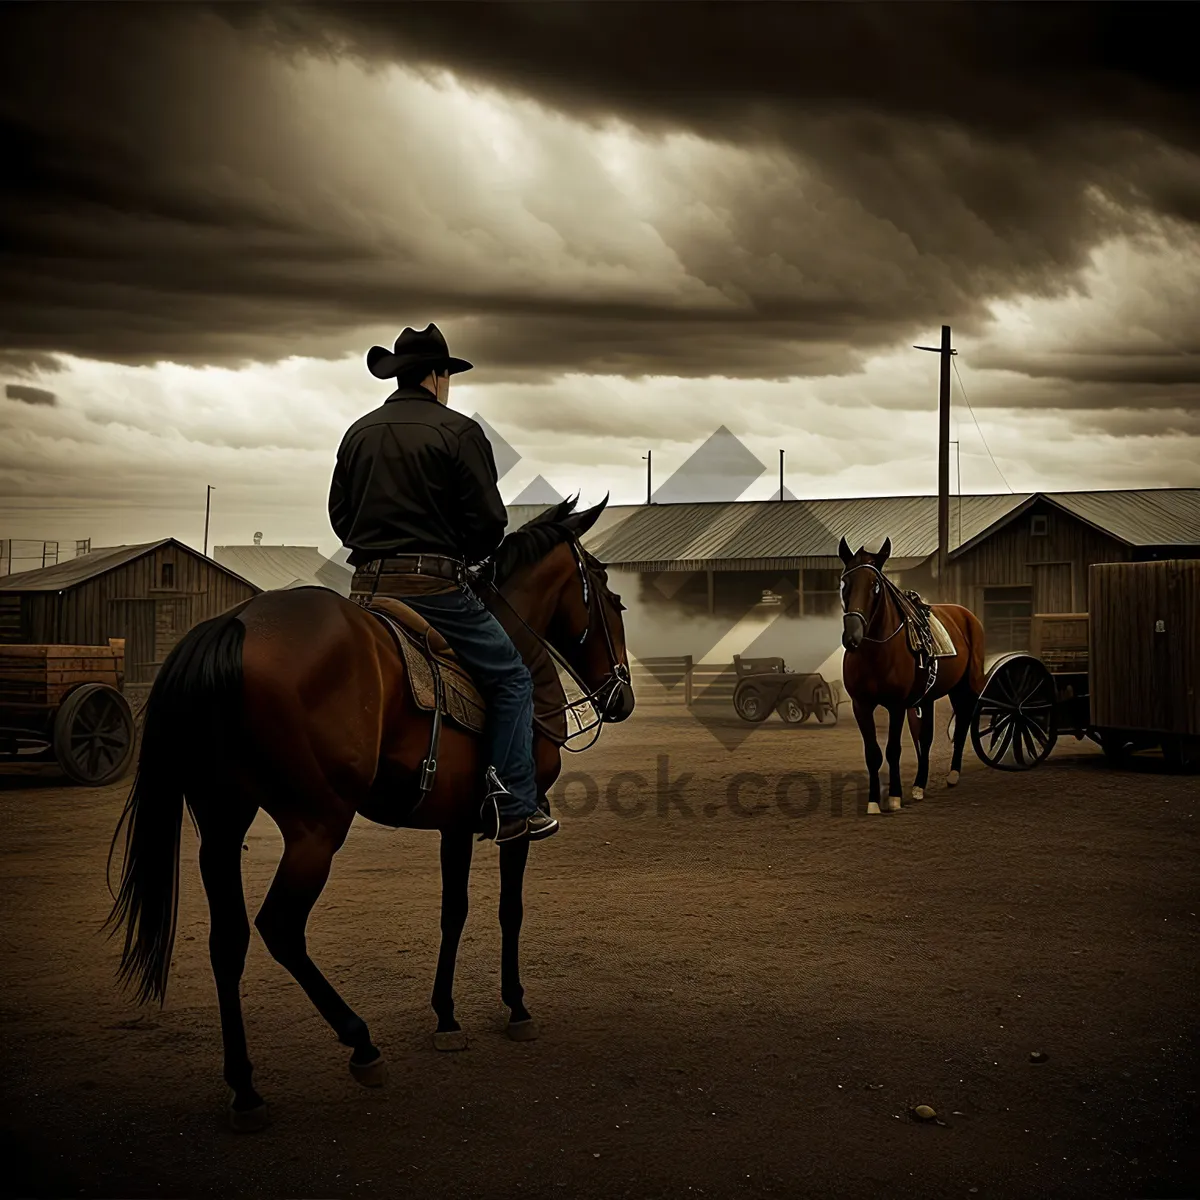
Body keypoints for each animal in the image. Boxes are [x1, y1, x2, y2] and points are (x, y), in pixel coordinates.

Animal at [104, 494, 633, 1123]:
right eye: (609, 593)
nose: (622, 697)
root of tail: (232, 624)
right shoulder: (517, 825)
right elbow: (511, 910)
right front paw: (516, 1008)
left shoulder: (456, 822)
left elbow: (453, 911)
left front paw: (446, 1017)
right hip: (315, 828)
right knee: (280, 927)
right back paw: (360, 1043)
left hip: (222, 825)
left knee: (227, 940)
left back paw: (245, 1087)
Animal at [840, 537, 988, 811]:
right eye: (845, 582)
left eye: (876, 585)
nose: (852, 636)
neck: (876, 653)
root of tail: (966, 614)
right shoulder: (861, 705)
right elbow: (873, 753)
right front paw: (873, 801)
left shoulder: (897, 705)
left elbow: (893, 750)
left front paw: (894, 797)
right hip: (927, 697)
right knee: (926, 737)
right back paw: (919, 784)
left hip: (965, 685)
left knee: (963, 722)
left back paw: (953, 774)